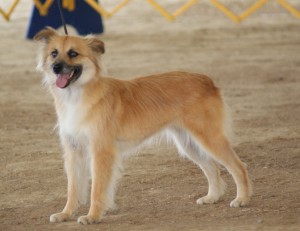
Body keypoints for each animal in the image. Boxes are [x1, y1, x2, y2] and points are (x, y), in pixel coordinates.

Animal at [34, 26, 252, 224]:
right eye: (54, 53)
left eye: (73, 53)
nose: (56, 67)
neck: (77, 96)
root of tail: (207, 80)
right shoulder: (73, 151)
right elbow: (73, 188)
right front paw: (65, 214)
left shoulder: (101, 152)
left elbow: (97, 189)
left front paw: (92, 216)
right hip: (189, 144)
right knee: (212, 168)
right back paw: (212, 197)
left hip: (209, 138)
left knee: (238, 167)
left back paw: (242, 199)